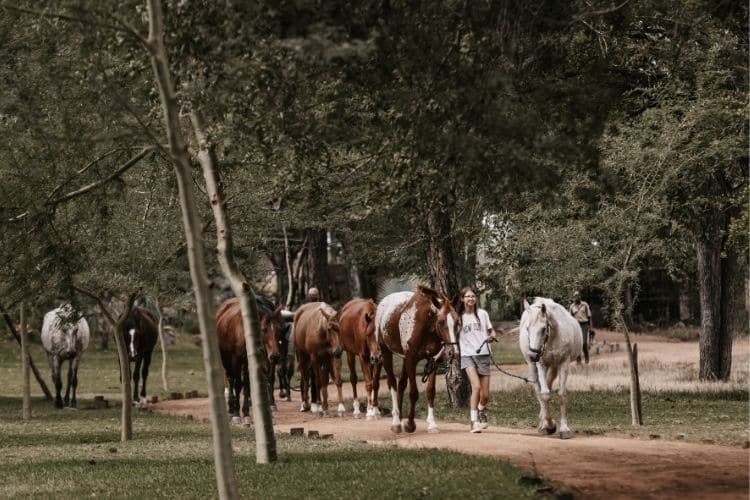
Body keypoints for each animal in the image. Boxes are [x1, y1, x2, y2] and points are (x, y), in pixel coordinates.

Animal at [373, 285, 459, 433]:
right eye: (441, 321)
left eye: (457, 321)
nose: (453, 352)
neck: (426, 326)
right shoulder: (411, 359)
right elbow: (413, 393)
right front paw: (410, 424)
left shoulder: (432, 361)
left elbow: (430, 391)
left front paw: (432, 424)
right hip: (385, 353)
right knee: (392, 383)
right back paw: (396, 422)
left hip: (403, 359)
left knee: (401, 384)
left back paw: (400, 415)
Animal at [519, 297, 583, 439]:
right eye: (527, 328)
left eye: (544, 329)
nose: (533, 355)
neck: (552, 337)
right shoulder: (541, 364)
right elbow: (545, 394)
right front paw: (549, 425)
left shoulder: (563, 363)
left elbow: (561, 395)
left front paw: (564, 429)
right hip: (533, 367)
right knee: (539, 391)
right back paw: (543, 422)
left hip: (553, 367)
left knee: (547, 384)